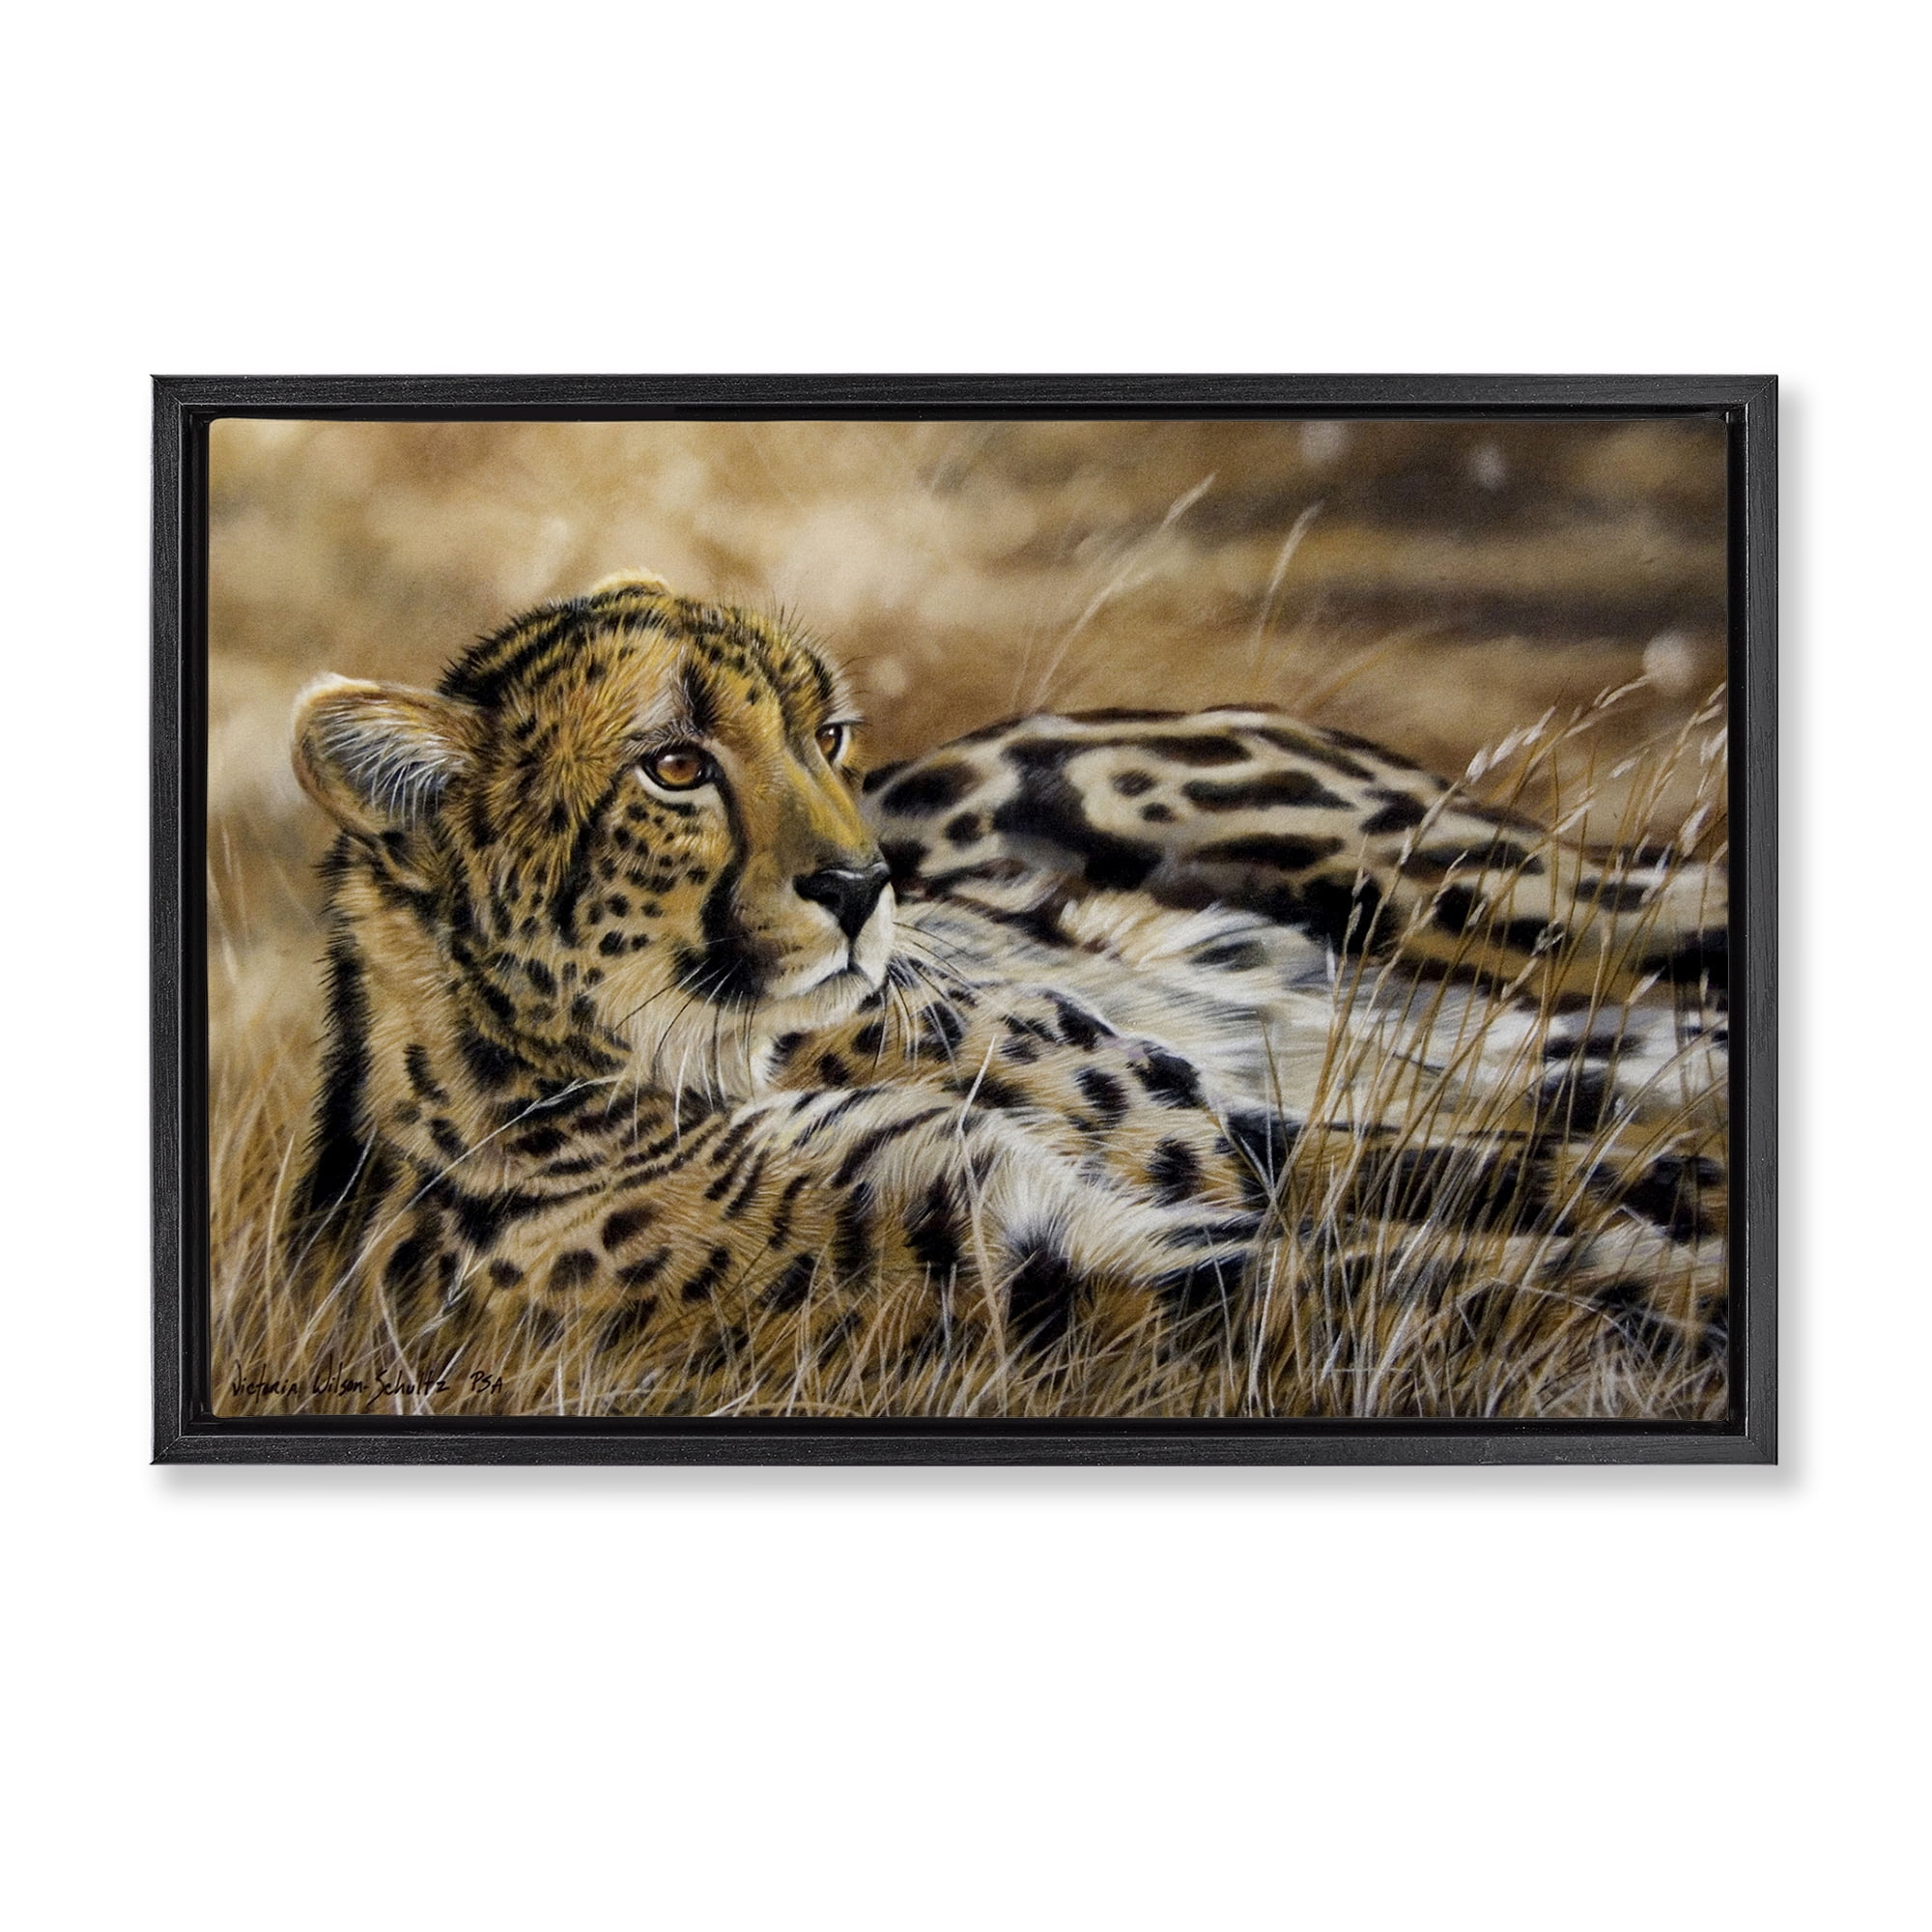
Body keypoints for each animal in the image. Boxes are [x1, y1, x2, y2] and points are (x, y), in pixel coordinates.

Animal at [278, 569, 1729, 1418]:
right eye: (675, 765)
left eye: (826, 735)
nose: (865, 883)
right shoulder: (1051, 1264)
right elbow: (1457, 1268)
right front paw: (1680, 1290)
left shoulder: (1205, 1144)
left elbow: (1515, 1188)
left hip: (1473, 890)